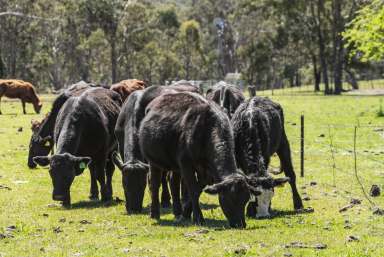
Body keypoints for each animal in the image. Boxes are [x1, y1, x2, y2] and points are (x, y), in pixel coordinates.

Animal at [140, 91, 264, 226]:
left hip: (175, 165)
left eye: (245, 200)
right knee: (154, 183)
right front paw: (198, 218)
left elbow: (197, 190)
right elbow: (193, 189)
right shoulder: (186, 164)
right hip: (154, 161)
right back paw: (154, 213)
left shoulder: (206, 172)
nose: (240, 224)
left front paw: (186, 213)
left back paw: (177, 212)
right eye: (230, 199)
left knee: (173, 183)